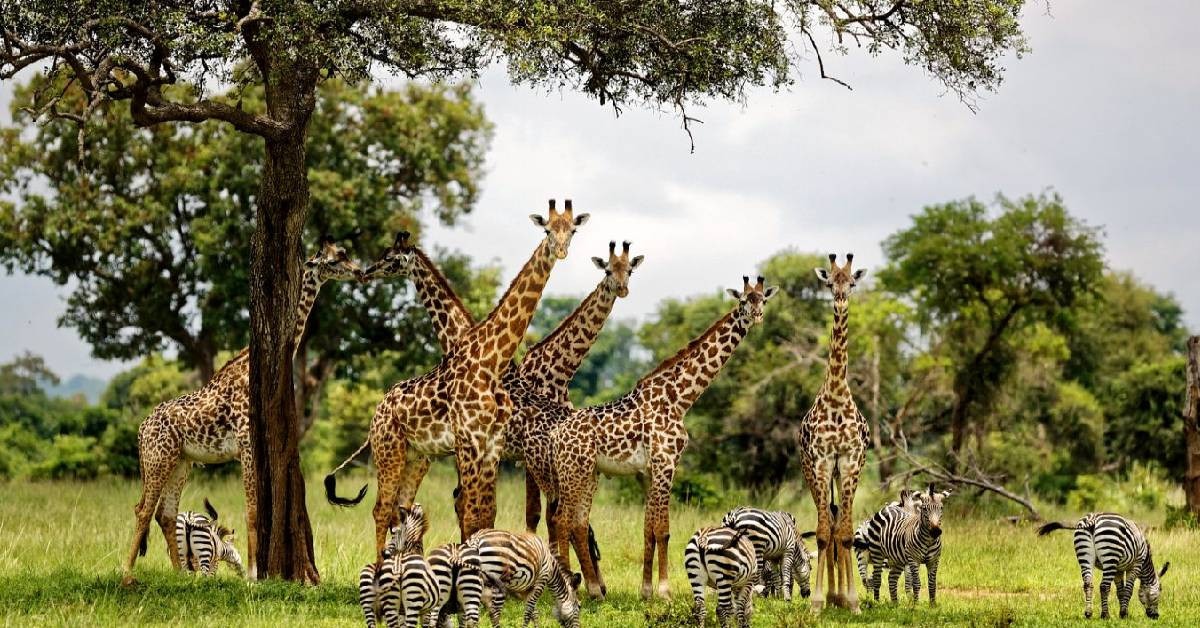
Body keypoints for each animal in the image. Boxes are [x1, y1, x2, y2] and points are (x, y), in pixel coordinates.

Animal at [125, 241, 364, 585]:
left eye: (345, 253)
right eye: (333, 260)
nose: (359, 271)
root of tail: (141, 429)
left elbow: (255, 510)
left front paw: (253, 572)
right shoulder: (246, 444)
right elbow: (252, 510)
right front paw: (253, 575)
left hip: (180, 462)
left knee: (165, 513)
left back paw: (180, 573)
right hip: (157, 458)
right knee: (143, 509)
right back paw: (127, 572)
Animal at [326, 199, 588, 557]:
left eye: (572, 230)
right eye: (548, 229)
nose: (366, 272)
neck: (486, 356)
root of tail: (379, 409)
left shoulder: (485, 445)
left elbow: (480, 514)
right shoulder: (469, 444)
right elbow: (473, 512)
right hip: (396, 450)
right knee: (385, 509)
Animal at [532, 274, 777, 600]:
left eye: (763, 299)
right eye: (743, 301)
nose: (757, 316)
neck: (680, 399)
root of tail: (557, 435)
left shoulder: (649, 470)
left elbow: (648, 528)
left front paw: (646, 589)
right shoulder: (666, 462)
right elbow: (663, 528)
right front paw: (664, 590)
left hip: (588, 474)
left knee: (578, 523)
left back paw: (595, 589)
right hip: (574, 472)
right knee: (561, 520)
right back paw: (573, 585)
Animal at [1036, 513, 1166, 619]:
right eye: (1160, 590)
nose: (1156, 616)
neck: (1145, 563)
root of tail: (1093, 520)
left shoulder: (1118, 570)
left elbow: (1121, 592)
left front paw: (1122, 613)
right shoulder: (1135, 565)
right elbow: (1128, 591)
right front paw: (1124, 614)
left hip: (1085, 555)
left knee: (1088, 584)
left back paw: (1088, 613)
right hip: (1110, 556)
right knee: (1104, 586)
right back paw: (1105, 615)